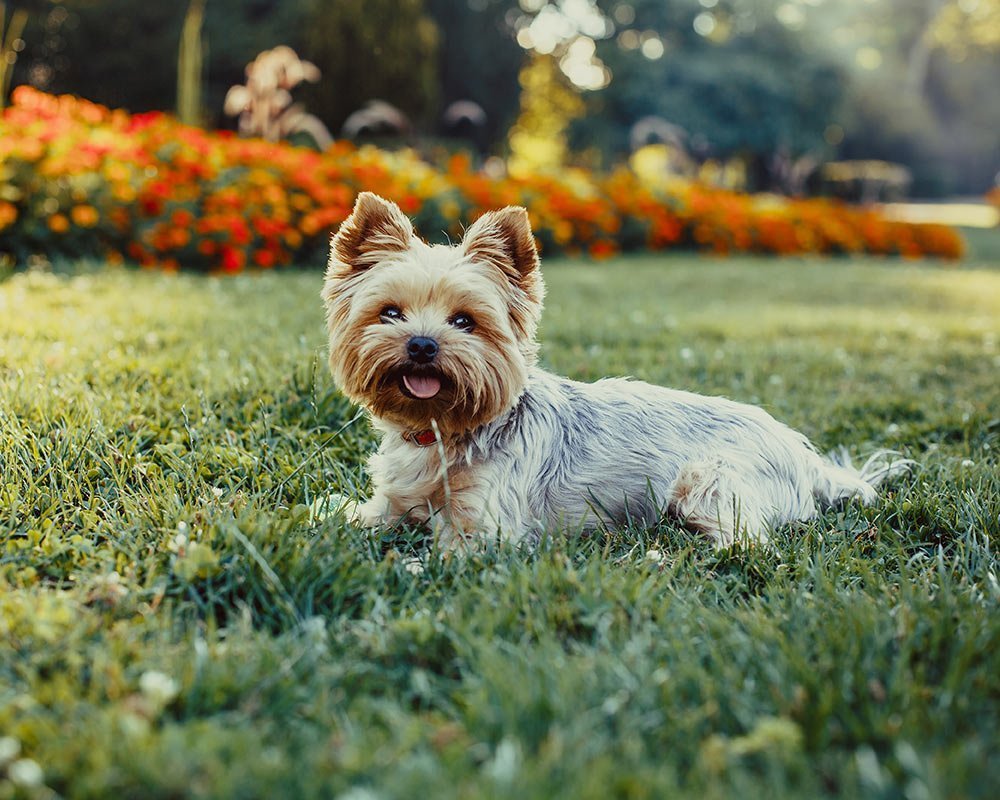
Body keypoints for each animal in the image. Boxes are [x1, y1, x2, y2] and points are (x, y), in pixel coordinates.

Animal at [322, 193, 908, 552]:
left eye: (464, 321)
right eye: (389, 313)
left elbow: (440, 551)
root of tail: (808, 459)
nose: (422, 344)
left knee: (747, 541)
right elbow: (354, 516)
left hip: (707, 481)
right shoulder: (390, 502)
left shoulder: (485, 527)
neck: (442, 430)